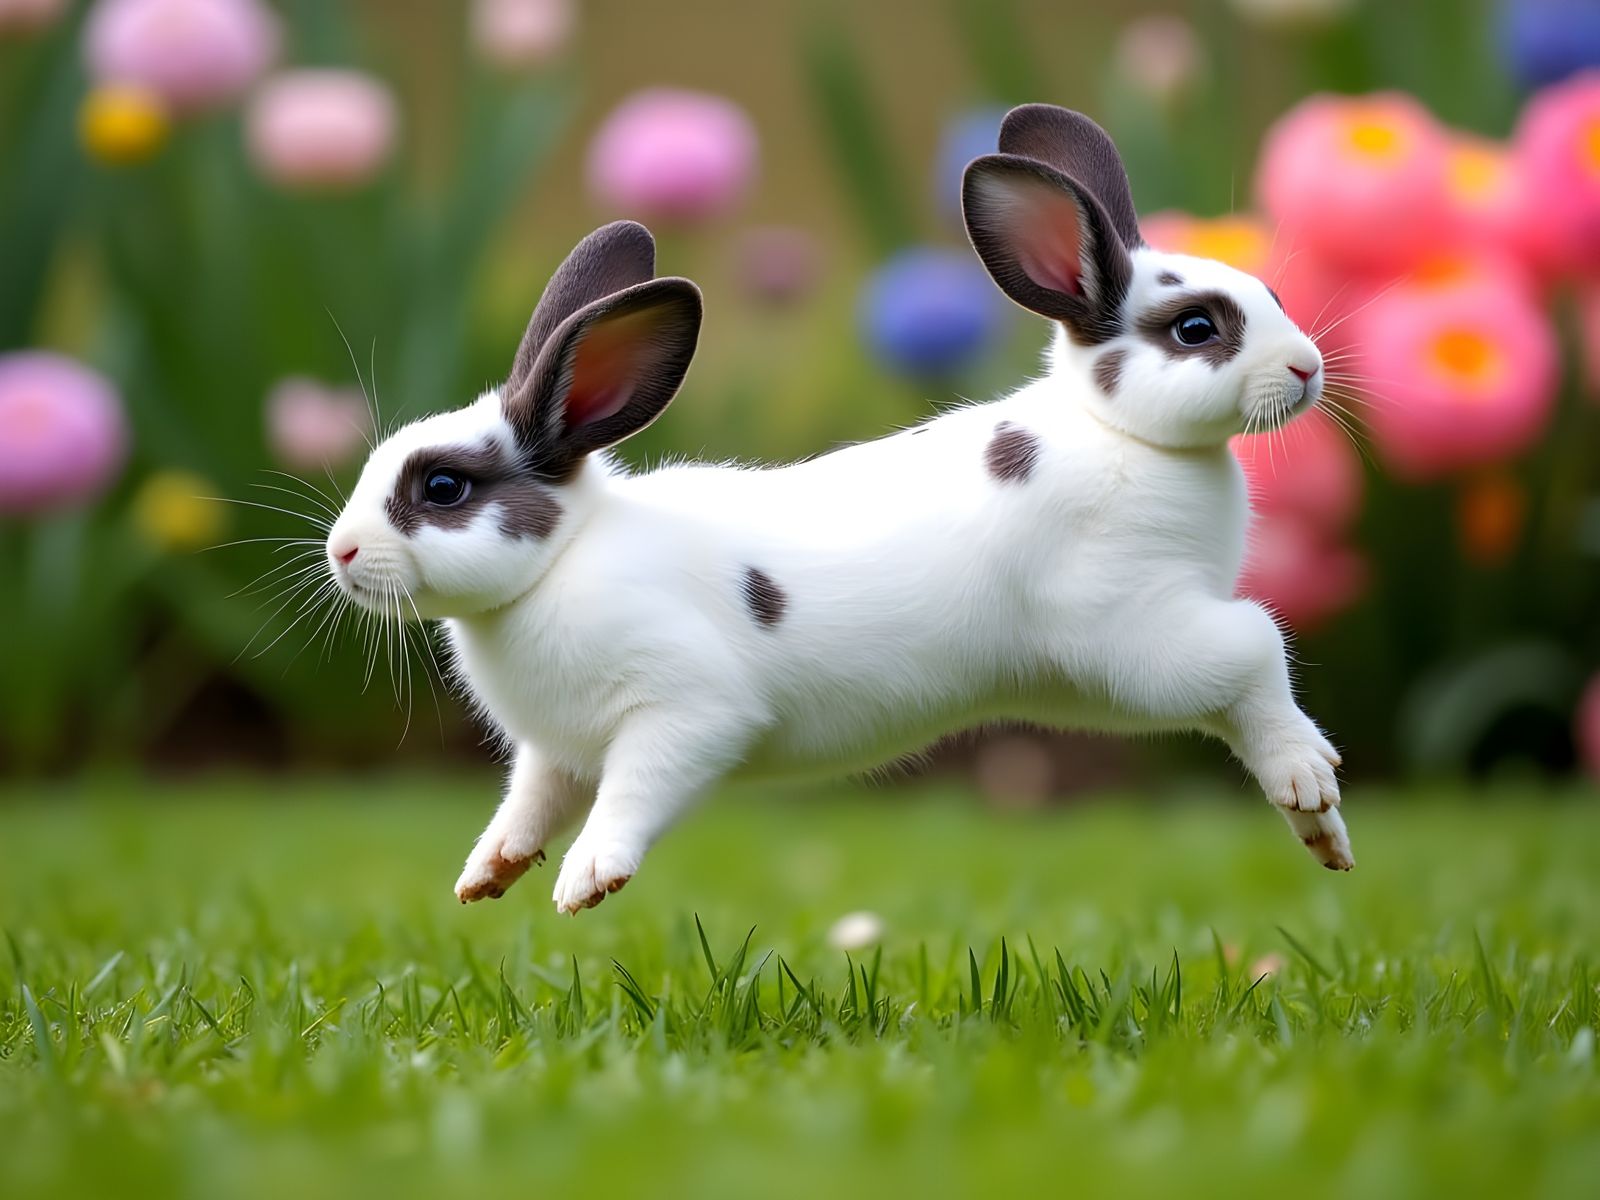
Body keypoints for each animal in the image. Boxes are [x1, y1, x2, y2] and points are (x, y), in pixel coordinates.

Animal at [323, 103, 1351, 915]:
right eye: (1200, 326)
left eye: (442, 489)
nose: (340, 553)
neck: (561, 558)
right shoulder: (555, 753)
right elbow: (526, 805)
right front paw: (486, 876)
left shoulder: (683, 713)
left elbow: (631, 797)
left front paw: (587, 881)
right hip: (1110, 677)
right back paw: (1319, 826)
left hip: (1137, 638)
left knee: (1254, 643)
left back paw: (1313, 785)